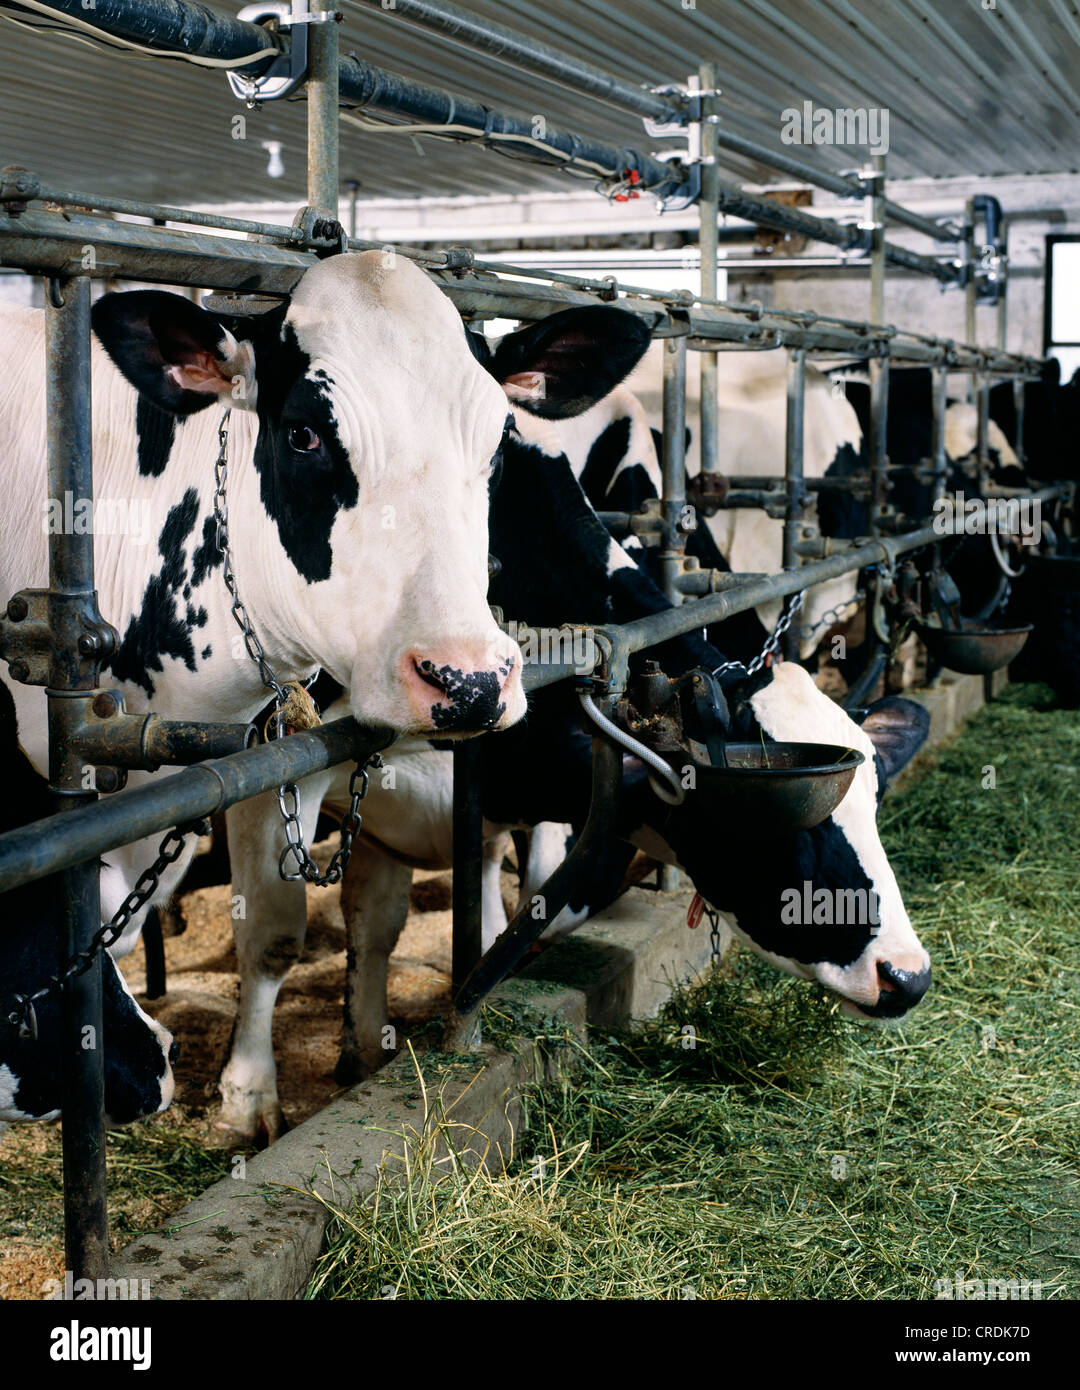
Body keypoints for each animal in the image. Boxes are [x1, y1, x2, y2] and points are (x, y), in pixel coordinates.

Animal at [0, 251, 528, 1117]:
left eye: (498, 441)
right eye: (304, 433)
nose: (471, 679)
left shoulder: (255, 752)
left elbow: (272, 930)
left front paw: (251, 1092)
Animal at [215, 306, 931, 1144]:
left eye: (872, 801)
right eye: (792, 816)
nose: (908, 974)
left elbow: (409, 923)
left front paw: (367, 1053)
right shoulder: (281, 749)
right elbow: (274, 935)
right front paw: (249, 1100)